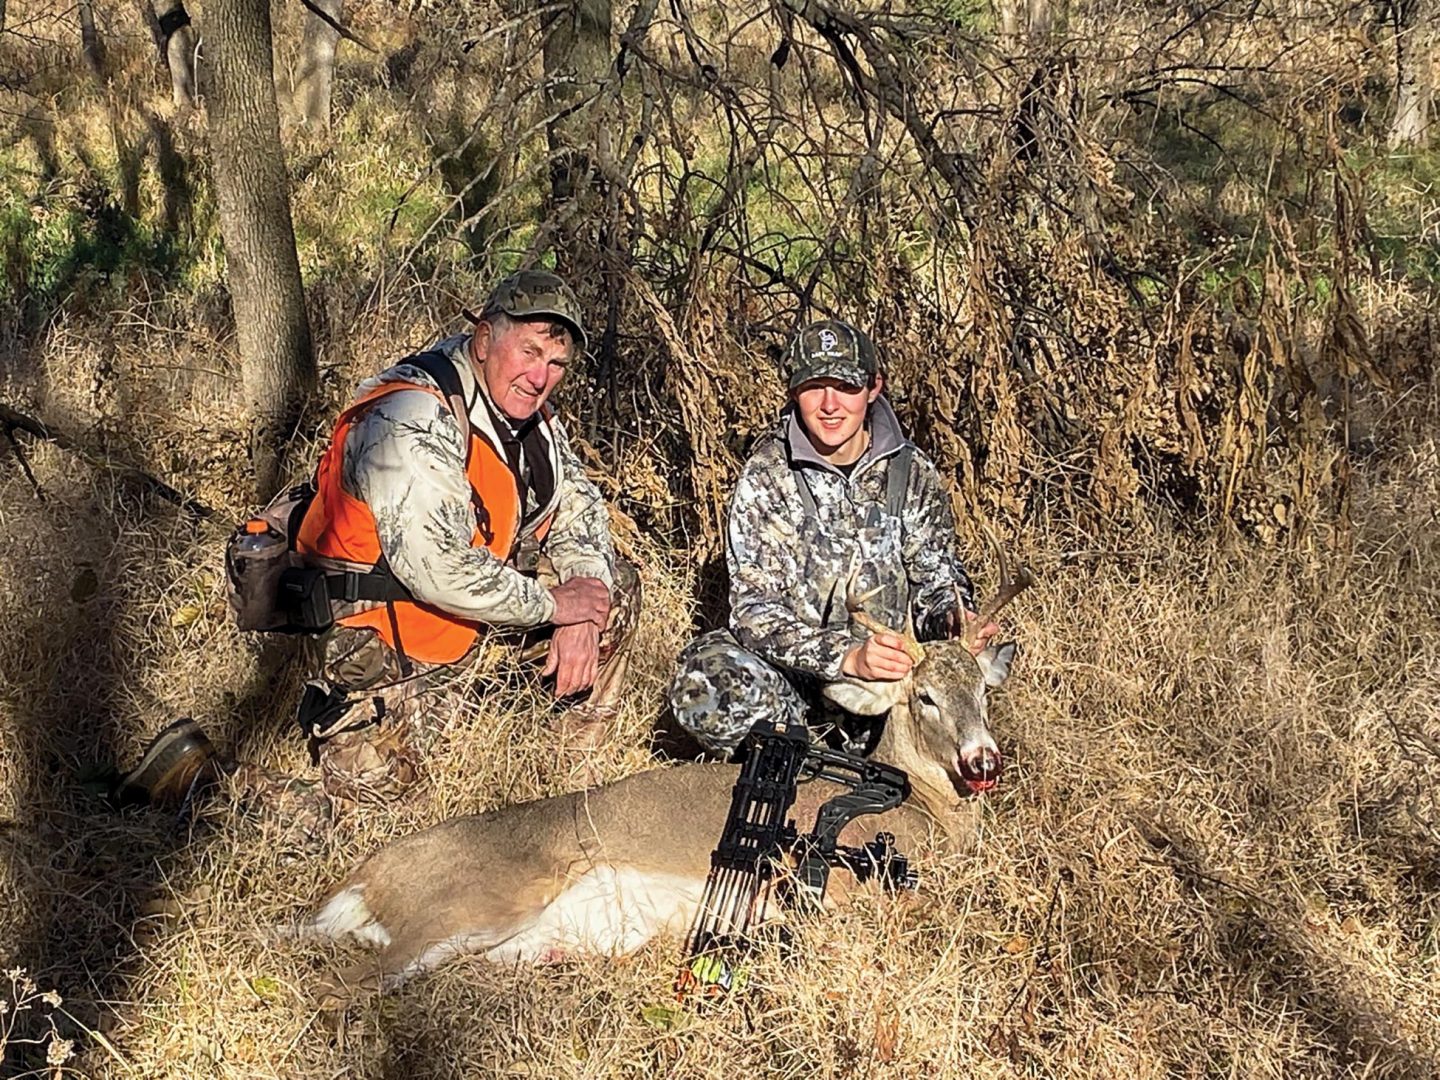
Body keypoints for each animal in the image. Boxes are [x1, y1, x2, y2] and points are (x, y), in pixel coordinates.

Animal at [298, 541, 1031, 1008]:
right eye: (924, 697)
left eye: (982, 692)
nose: (983, 761)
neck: (922, 807)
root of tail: (359, 881)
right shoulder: (849, 888)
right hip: (472, 902)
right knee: (339, 987)